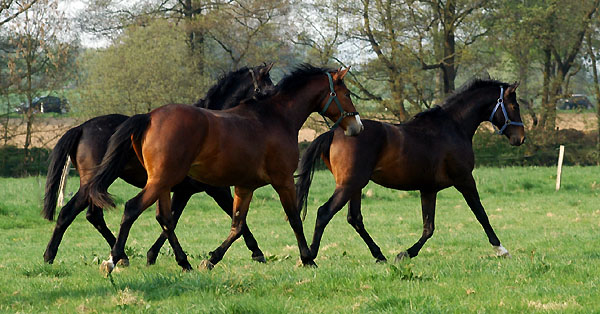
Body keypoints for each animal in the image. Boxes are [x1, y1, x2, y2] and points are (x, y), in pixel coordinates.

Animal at [42, 63, 274, 264]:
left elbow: (170, 219)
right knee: (68, 213)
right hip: (93, 182)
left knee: (93, 216)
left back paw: (120, 255)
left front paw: (152, 255)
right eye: (267, 87)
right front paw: (257, 252)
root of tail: (81, 127)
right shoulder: (216, 190)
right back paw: (51, 256)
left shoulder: (182, 191)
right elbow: (238, 221)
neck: (213, 127)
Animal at [86, 64, 364, 272]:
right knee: (131, 209)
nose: (357, 126)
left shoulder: (244, 186)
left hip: (163, 184)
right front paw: (307, 258)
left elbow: (238, 225)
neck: (274, 118)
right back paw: (113, 259)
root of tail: (150, 116)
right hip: (160, 182)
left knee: (165, 219)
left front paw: (211, 259)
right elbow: (294, 218)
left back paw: (184, 263)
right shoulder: (282, 180)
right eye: (347, 94)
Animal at [296, 78, 524, 262]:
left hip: (355, 186)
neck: (453, 127)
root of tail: (335, 133)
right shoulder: (465, 180)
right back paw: (310, 256)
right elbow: (481, 214)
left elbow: (428, 228)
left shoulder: (429, 189)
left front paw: (405, 254)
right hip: (349, 184)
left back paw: (379, 255)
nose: (520, 138)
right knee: (324, 213)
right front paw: (501, 250)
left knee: (355, 218)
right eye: (514, 105)